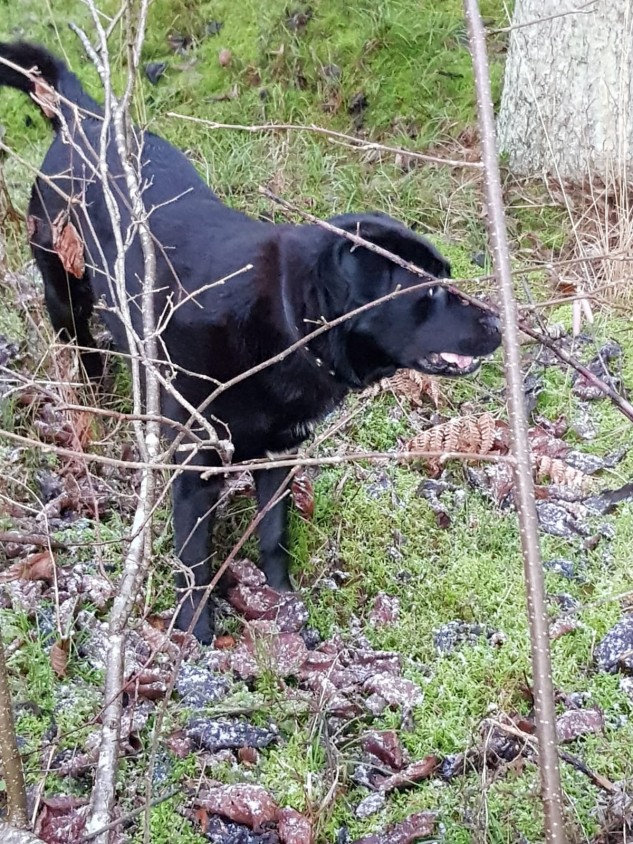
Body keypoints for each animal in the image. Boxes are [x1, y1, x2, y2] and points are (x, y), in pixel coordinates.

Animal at [0, 42, 502, 643]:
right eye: (427, 289)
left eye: (447, 275)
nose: (499, 325)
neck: (287, 328)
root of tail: (85, 116)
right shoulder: (195, 468)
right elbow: (195, 560)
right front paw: (194, 635)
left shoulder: (280, 456)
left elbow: (273, 535)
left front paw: (281, 604)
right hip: (64, 291)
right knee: (82, 353)